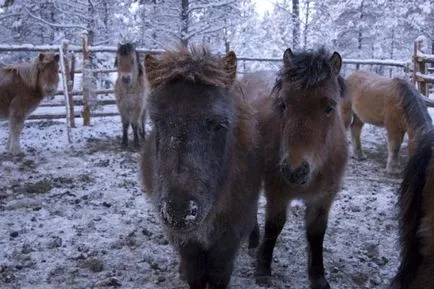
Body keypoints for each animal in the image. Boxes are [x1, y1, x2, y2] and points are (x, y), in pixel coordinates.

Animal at [141, 45, 262, 288]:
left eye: (220, 124)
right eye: (157, 122)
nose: (179, 211)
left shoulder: (228, 237)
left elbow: (218, 275)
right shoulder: (185, 241)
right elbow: (195, 274)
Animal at [242, 47, 348, 288]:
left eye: (329, 107)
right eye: (283, 104)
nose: (294, 170)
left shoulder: (323, 198)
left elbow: (316, 233)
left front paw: (318, 277)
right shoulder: (278, 192)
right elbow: (274, 226)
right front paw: (263, 269)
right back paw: (253, 239)